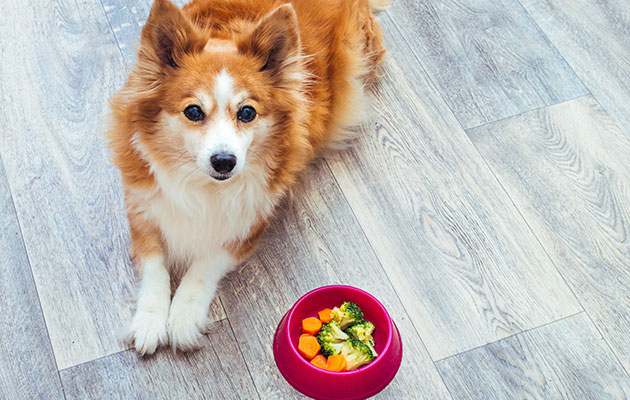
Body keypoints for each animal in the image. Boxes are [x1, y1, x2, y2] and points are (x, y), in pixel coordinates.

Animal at [106, 0, 388, 354]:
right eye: (193, 111)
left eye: (247, 112)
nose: (225, 162)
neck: (201, 185)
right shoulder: (142, 207)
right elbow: (155, 265)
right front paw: (150, 320)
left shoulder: (251, 221)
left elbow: (205, 264)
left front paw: (184, 315)